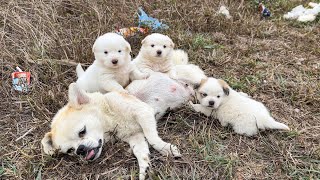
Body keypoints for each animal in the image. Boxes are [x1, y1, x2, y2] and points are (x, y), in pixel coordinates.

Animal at [41, 83, 180, 180]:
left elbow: (152, 138)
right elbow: (141, 152)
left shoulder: (143, 112)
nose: (80, 150)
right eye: (70, 151)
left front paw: (166, 149)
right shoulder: (135, 136)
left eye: (82, 131)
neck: (112, 118)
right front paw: (144, 169)